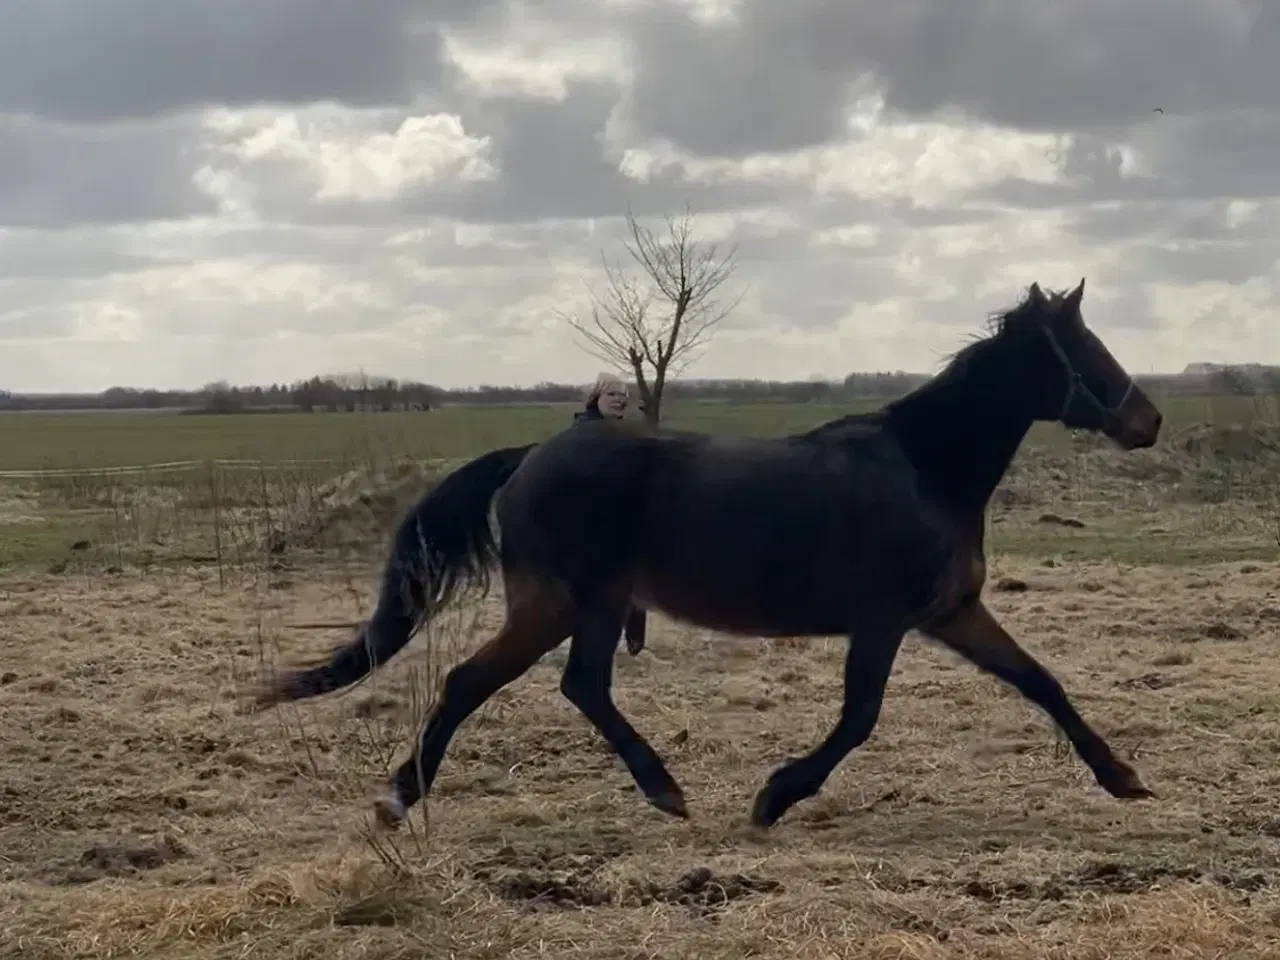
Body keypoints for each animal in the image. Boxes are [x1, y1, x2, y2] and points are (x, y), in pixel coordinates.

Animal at [254, 280, 1167, 834]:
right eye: (1087, 350)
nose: (1148, 420)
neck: (924, 468)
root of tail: (529, 459)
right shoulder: (881, 622)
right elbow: (859, 718)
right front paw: (775, 796)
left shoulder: (953, 612)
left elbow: (1041, 681)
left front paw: (1122, 776)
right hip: (578, 601)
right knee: (559, 684)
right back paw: (658, 790)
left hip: (561, 606)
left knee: (490, 682)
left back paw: (404, 796)